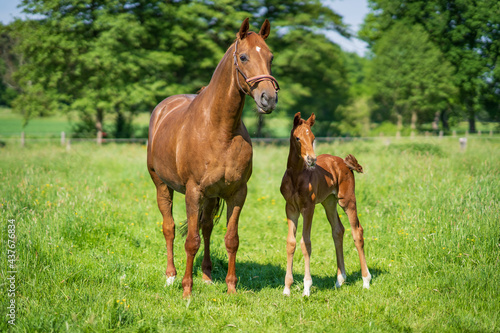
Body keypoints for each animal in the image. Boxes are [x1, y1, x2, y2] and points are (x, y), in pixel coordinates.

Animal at [282, 112, 372, 296]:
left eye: (313, 138)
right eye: (297, 138)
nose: (311, 159)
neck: (296, 176)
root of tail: (343, 162)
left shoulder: (308, 207)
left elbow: (305, 243)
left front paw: (307, 287)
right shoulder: (291, 208)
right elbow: (291, 243)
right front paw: (287, 288)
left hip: (347, 200)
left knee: (357, 231)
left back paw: (366, 280)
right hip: (329, 202)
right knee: (338, 230)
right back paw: (340, 280)